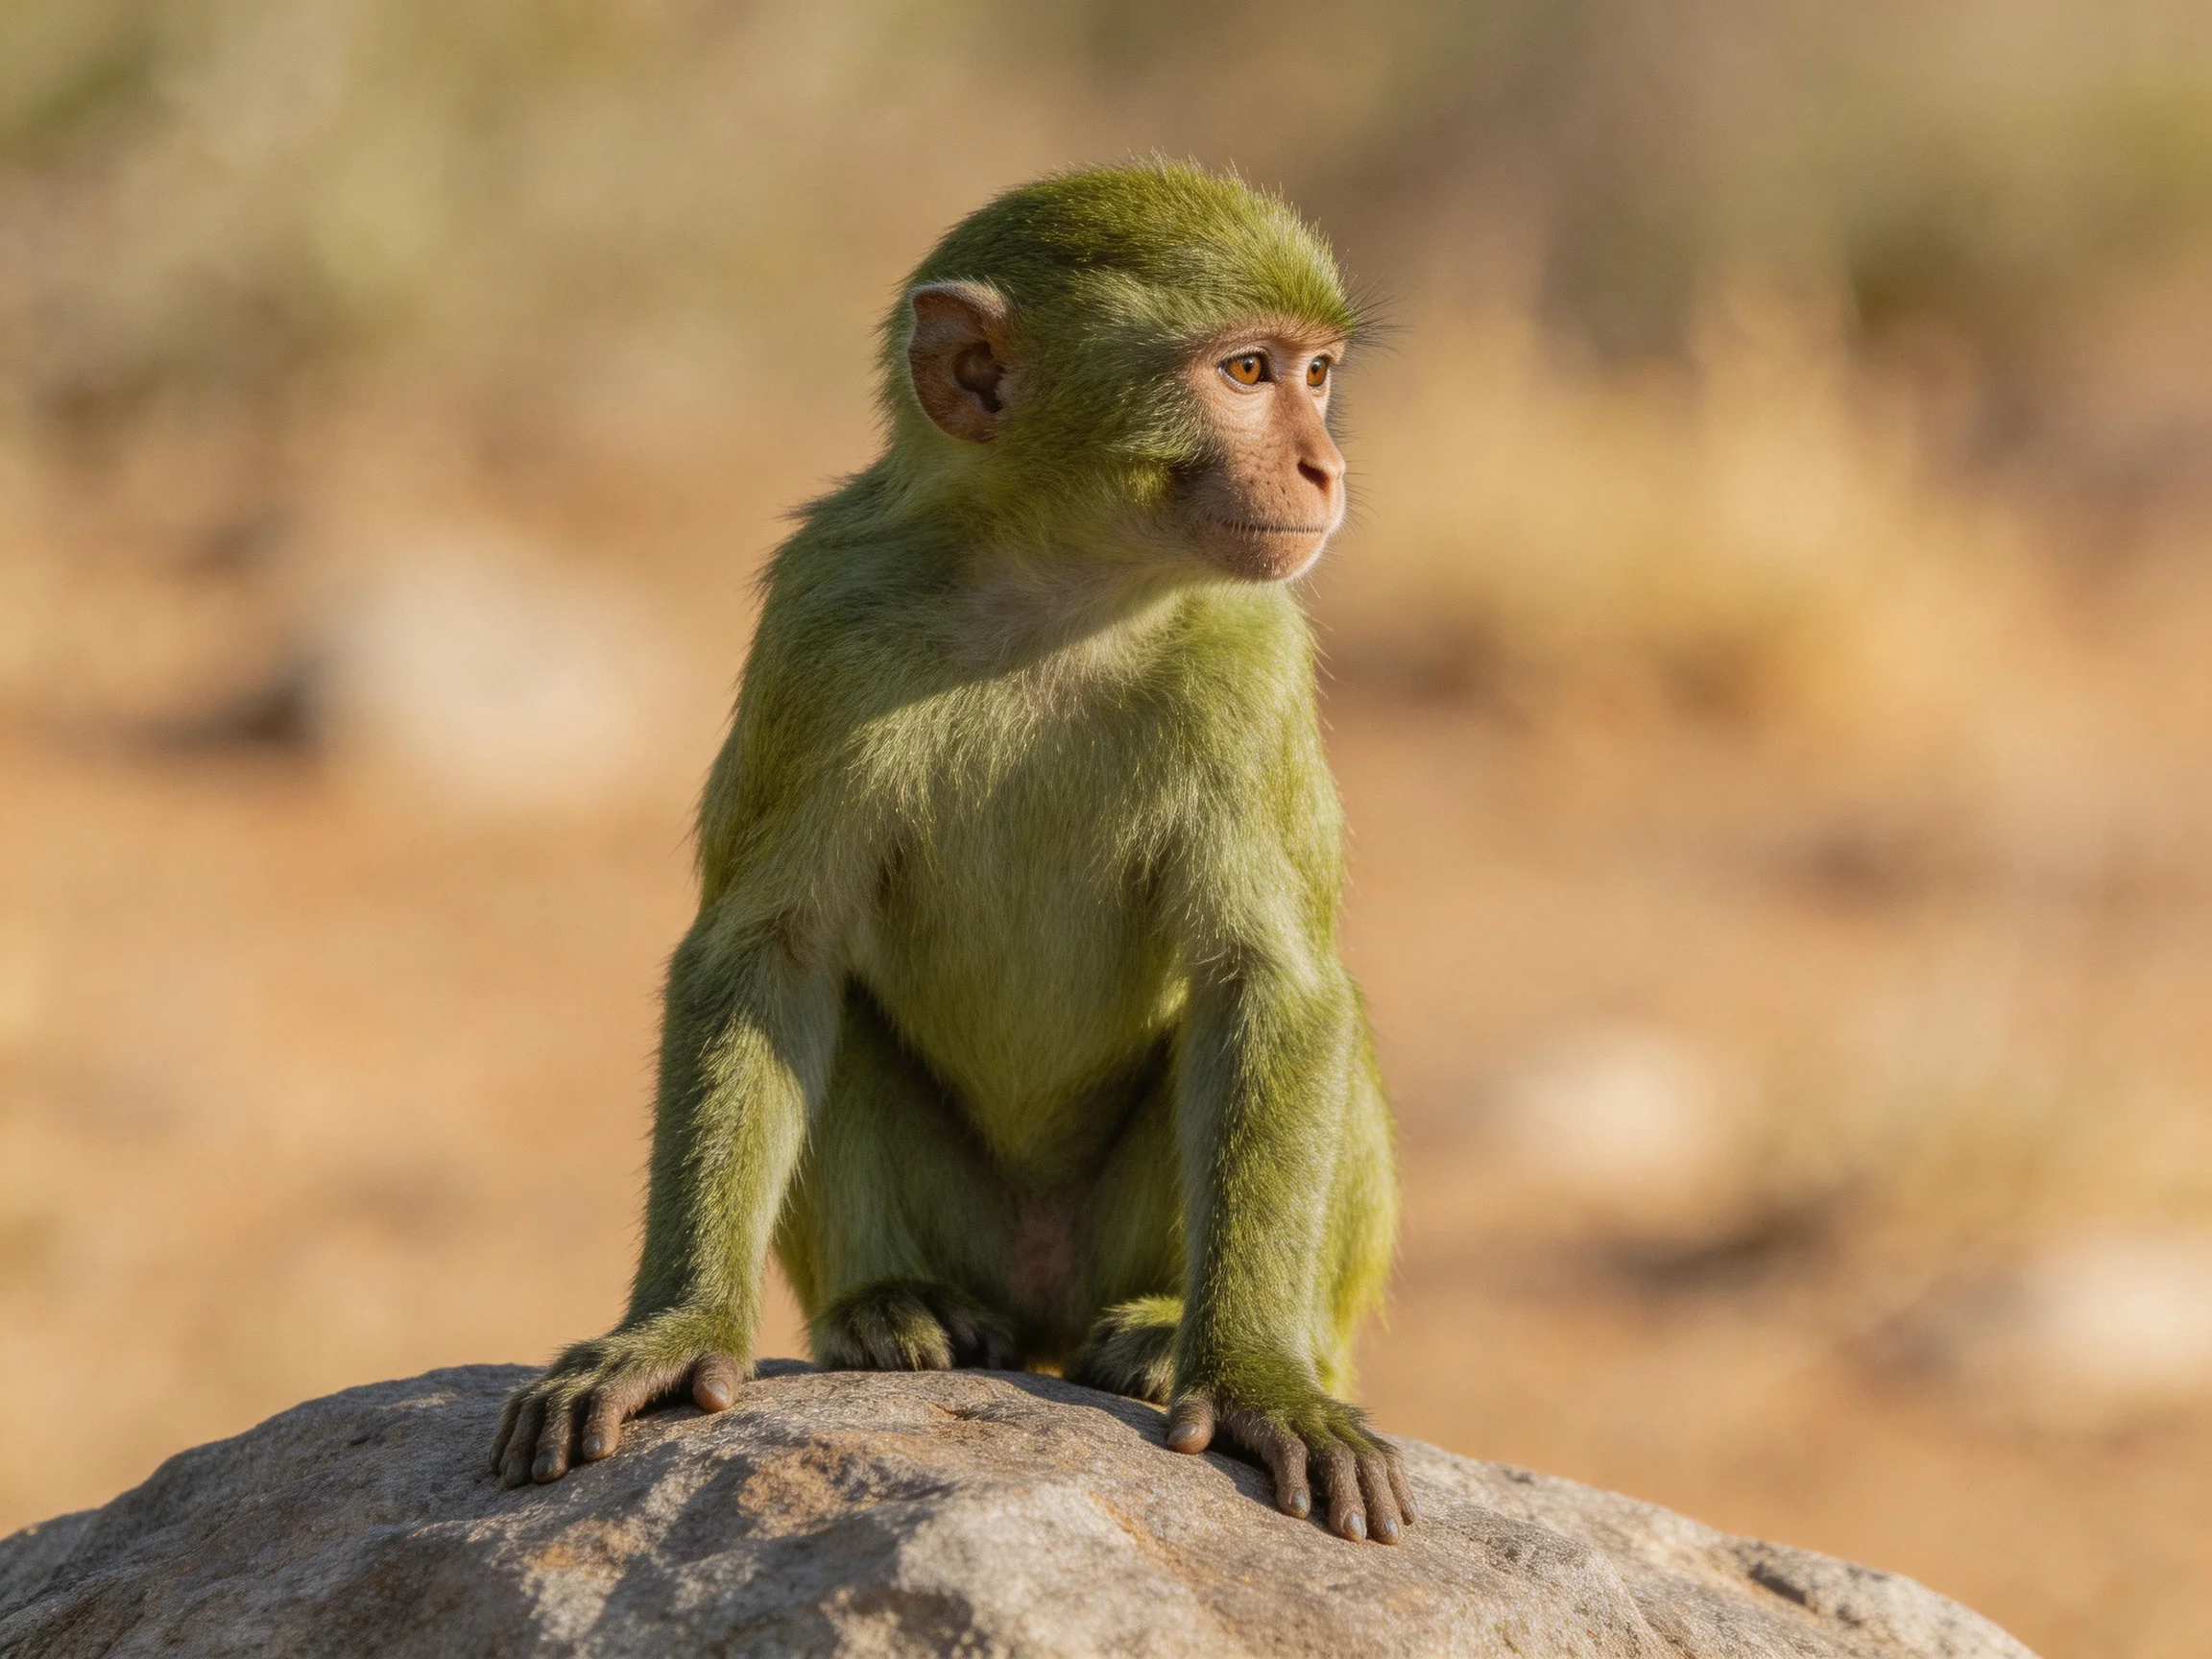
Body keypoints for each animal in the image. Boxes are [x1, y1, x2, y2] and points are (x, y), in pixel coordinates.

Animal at [490, 161, 1411, 1544]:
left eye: (1315, 374)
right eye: (1246, 372)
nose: (1323, 467)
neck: (1055, 593)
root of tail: (1036, 1303)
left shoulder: (1251, 654)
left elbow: (1271, 981)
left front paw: (1255, 1379)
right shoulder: (822, 620)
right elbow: (767, 954)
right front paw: (674, 1330)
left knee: (1315, 1016)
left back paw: (1172, 1332)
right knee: (834, 1010)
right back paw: (892, 1303)